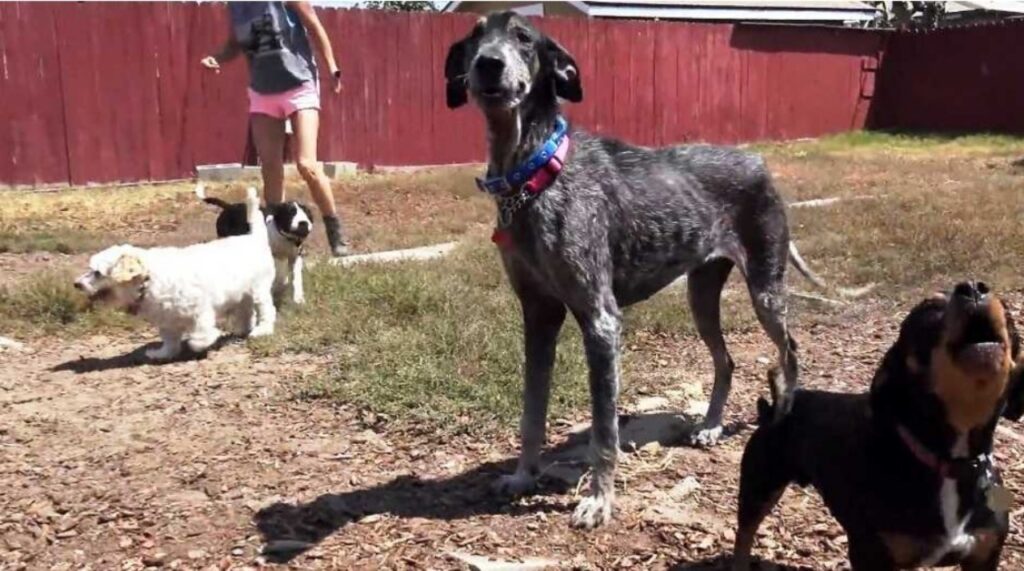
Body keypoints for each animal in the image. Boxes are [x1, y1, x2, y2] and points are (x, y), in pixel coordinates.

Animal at [75, 188, 276, 360]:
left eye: (97, 273)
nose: (76, 284)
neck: (149, 279)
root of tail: (253, 237)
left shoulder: (199, 309)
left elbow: (201, 333)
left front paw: (200, 343)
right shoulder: (166, 319)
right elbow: (169, 339)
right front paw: (163, 353)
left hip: (259, 290)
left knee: (266, 311)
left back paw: (261, 330)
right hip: (241, 293)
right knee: (246, 311)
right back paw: (244, 329)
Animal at [448, 11, 847, 532]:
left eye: (524, 39)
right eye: (475, 36)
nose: (487, 65)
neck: (534, 172)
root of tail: (760, 164)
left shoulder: (601, 322)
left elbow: (604, 431)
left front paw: (599, 501)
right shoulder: (538, 315)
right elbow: (532, 412)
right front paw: (522, 477)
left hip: (766, 291)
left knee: (791, 351)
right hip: (702, 295)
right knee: (726, 361)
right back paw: (710, 426)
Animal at [737, 282, 1024, 571]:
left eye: (1008, 313)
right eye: (928, 309)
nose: (974, 288)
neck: (950, 463)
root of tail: (776, 406)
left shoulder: (984, 554)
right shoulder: (871, 554)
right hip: (759, 486)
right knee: (744, 536)